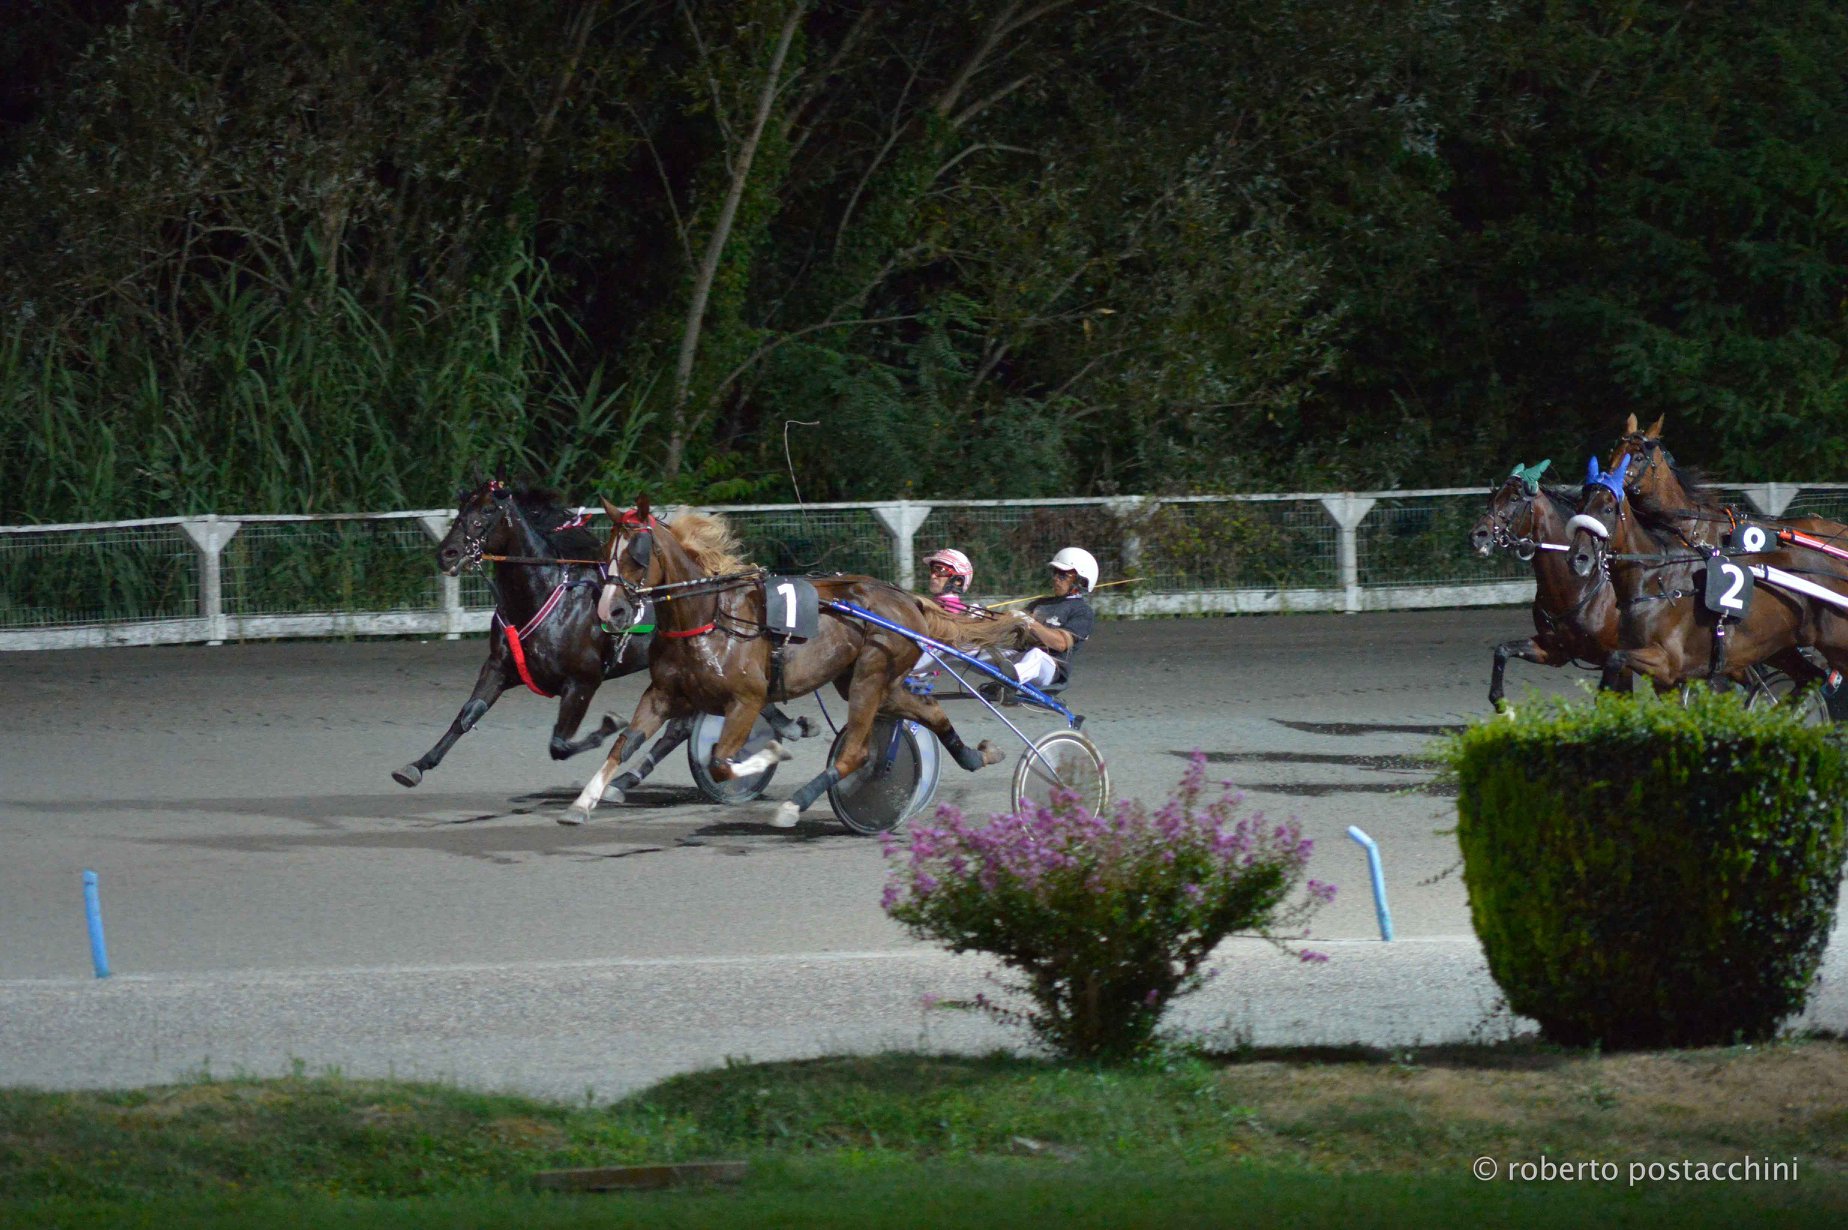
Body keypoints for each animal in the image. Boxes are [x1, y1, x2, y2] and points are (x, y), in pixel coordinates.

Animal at [561, 494, 1027, 823]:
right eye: (604, 552)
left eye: (637, 553)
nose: (611, 611)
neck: (708, 619)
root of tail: (907, 598)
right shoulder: (661, 693)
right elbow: (623, 743)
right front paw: (582, 802)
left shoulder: (746, 700)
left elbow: (721, 761)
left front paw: (773, 753)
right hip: (871, 681)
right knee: (928, 711)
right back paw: (978, 755)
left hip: (871, 675)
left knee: (855, 753)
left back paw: (794, 805)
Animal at [1463, 458, 1626, 709]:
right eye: (1492, 499)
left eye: (1514, 498)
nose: (1477, 536)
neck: (1578, 586)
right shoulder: (1555, 651)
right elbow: (1502, 650)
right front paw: (1499, 700)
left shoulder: (1615, 658)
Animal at [1567, 454, 1848, 694]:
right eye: (1579, 505)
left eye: (1608, 509)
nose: (1579, 558)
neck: (1656, 581)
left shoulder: (1668, 663)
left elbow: (1616, 659)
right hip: (1782, 646)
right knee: (1809, 678)